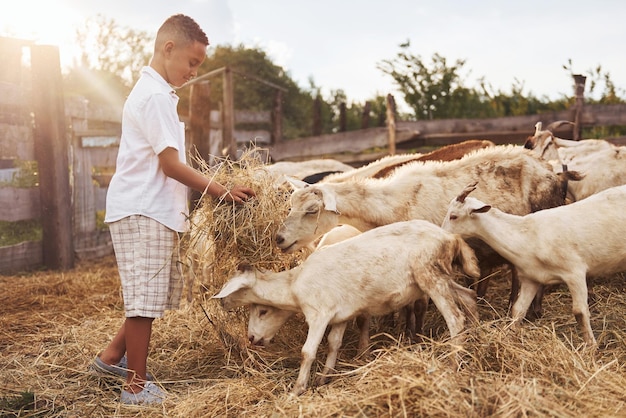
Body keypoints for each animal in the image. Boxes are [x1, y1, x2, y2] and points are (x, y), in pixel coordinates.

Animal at [212, 220, 476, 396]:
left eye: (262, 311)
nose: (251, 338)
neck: (294, 286)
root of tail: (451, 238)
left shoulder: (319, 314)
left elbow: (307, 352)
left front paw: (297, 389)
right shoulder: (340, 315)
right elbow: (333, 344)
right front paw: (325, 377)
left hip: (430, 275)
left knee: (455, 319)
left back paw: (454, 363)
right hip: (441, 276)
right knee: (470, 297)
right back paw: (477, 336)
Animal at [438, 181, 624, 344]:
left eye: (454, 216)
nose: (442, 233)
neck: (528, 235)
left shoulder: (574, 273)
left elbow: (579, 312)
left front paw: (591, 346)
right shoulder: (531, 279)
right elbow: (517, 310)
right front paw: (508, 338)